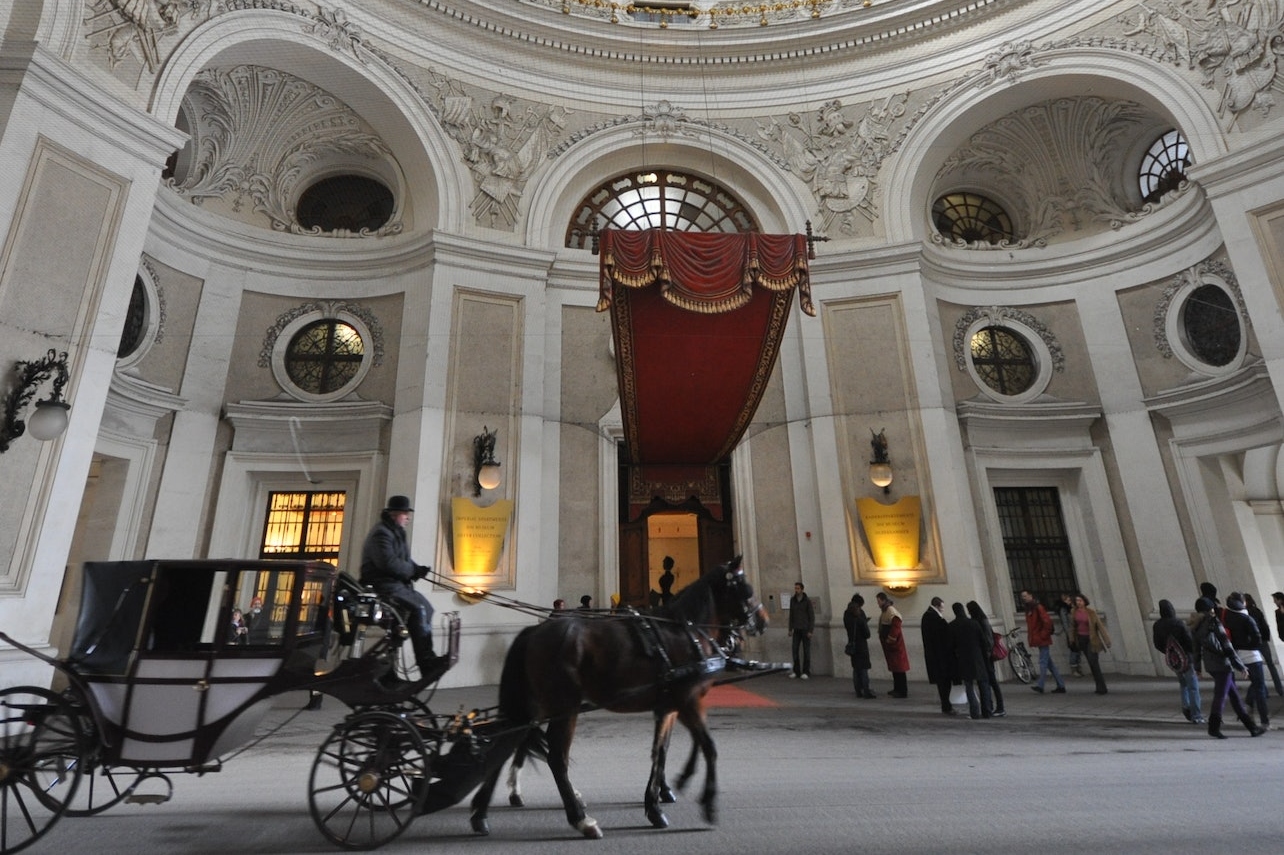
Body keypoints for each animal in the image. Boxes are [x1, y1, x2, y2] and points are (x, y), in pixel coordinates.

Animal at [469, 557, 760, 837]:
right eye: (746, 590)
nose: (761, 622)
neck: (684, 632)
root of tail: (533, 632)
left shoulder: (669, 705)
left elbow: (661, 750)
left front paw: (658, 799)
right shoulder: (687, 700)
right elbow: (707, 746)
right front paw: (705, 802)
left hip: (537, 704)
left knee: (510, 743)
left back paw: (483, 812)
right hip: (563, 705)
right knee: (554, 756)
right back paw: (579, 819)